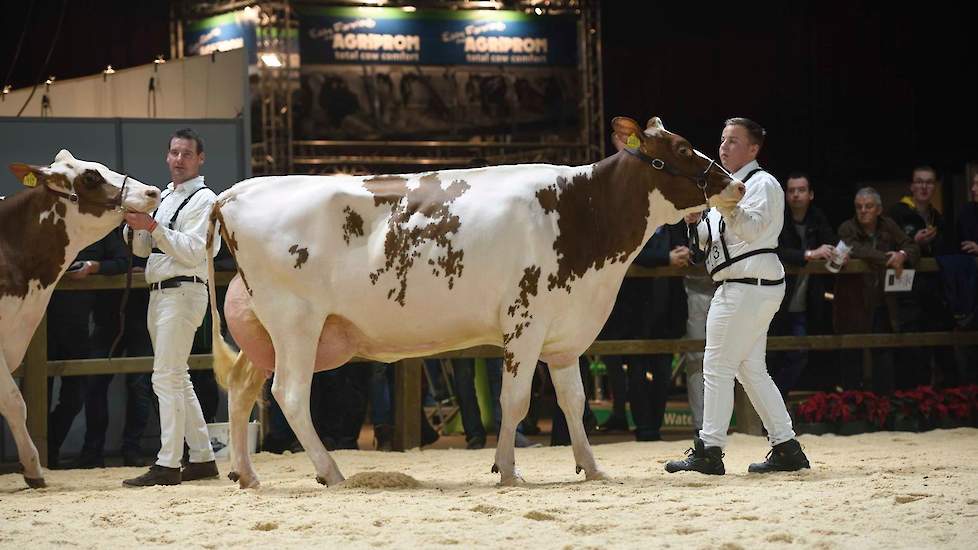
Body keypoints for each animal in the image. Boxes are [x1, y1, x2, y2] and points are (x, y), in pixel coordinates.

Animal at [206, 117, 740, 492]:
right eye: (680, 149)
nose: (735, 184)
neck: (578, 212)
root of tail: (237, 190)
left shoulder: (564, 332)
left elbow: (574, 402)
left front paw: (591, 468)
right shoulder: (525, 321)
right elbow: (515, 400)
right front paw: (508, 470)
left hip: (265, 330)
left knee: (243, 387)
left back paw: (247, 475)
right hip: (297, 322)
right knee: (290, 394)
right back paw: (332, 472)